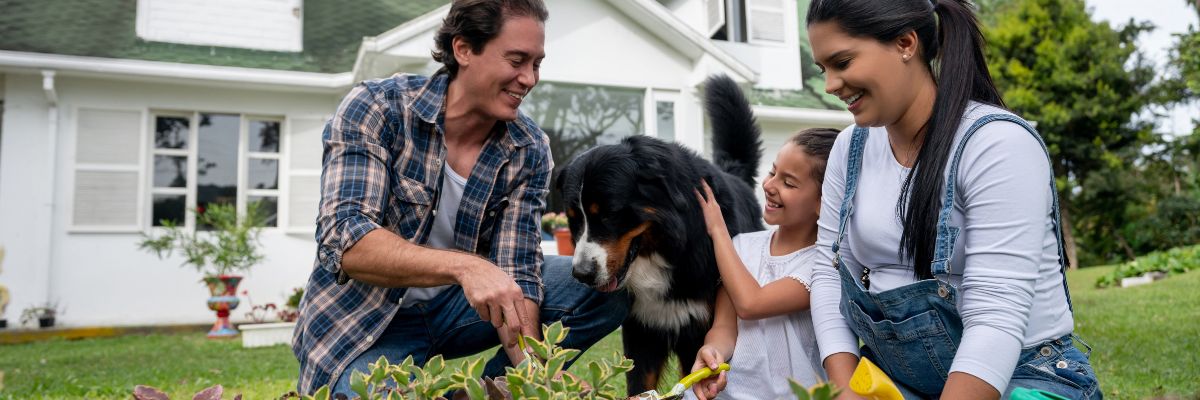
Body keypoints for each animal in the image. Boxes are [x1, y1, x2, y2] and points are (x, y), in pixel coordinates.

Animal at [554, 73, 763, 391]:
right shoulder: (641, 332)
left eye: (609, 214)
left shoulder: (698, 332)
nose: (582, 274)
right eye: (573, 219)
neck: (669, 248)